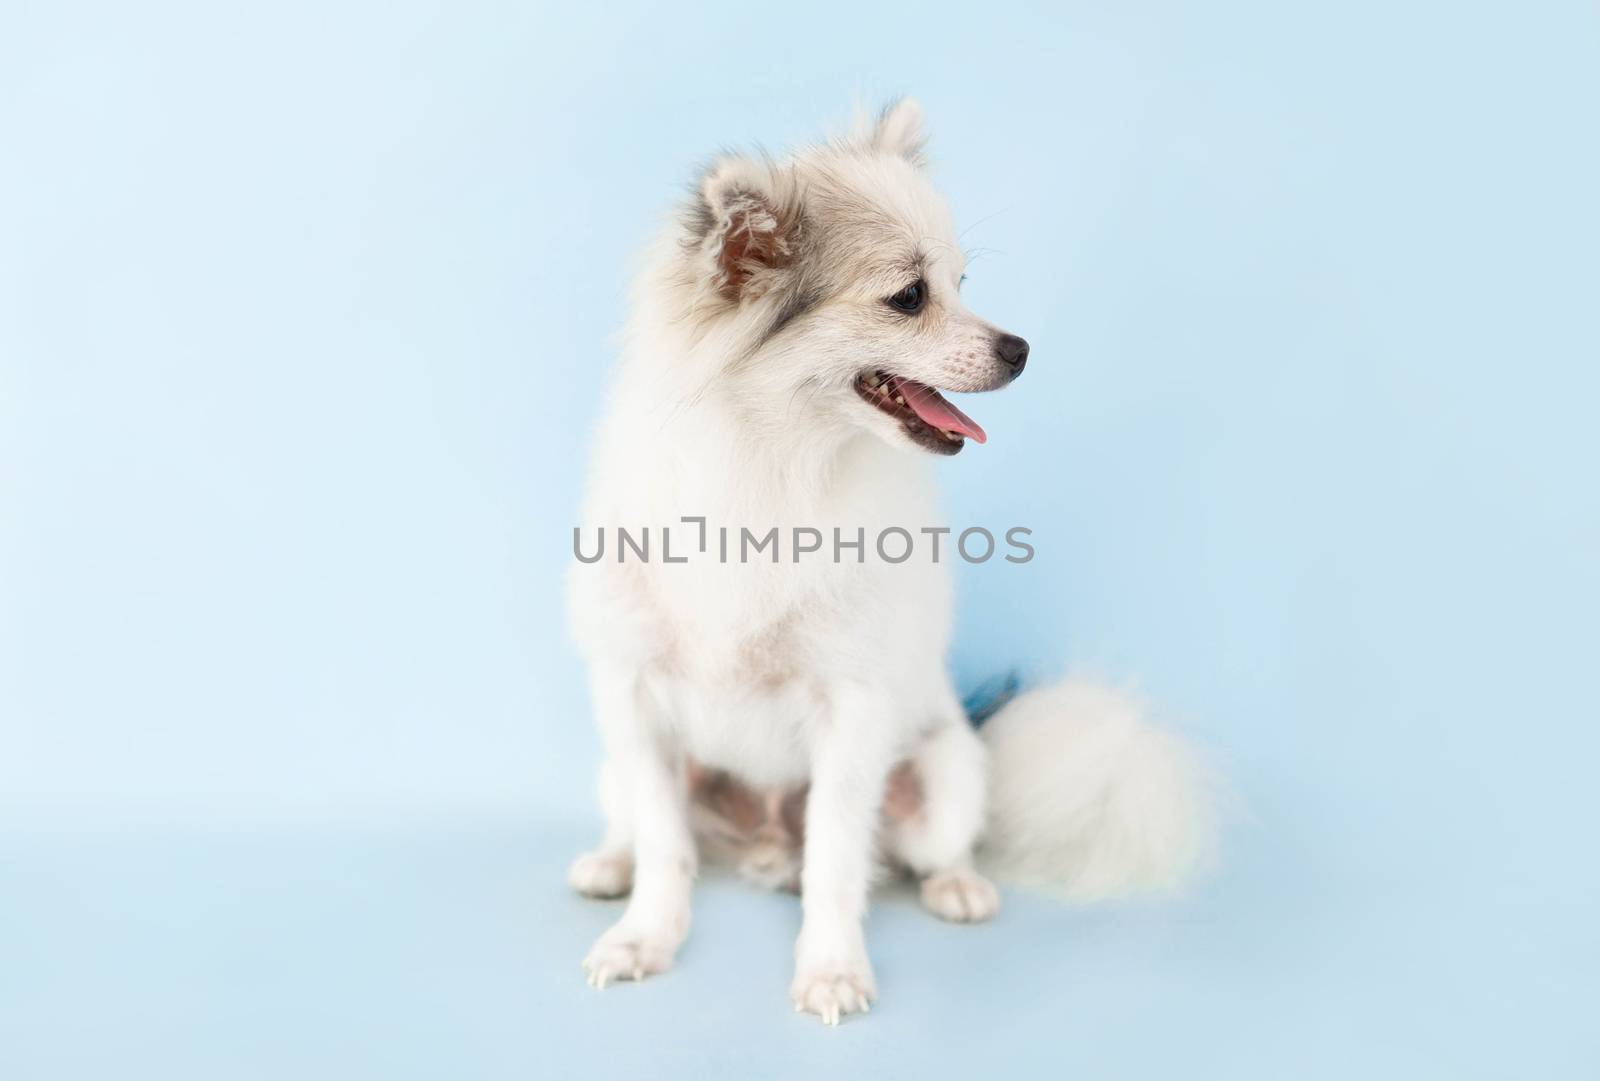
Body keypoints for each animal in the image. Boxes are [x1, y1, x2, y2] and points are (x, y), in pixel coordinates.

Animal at [569, 99, 1203, 1023]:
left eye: (965, 283)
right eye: (910, 297)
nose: (1019, 348)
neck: (776, 464)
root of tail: (764, 834)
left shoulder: (852, 710)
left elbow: (836, 859)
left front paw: (831, 967)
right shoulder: (634, 698)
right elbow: (666, 845)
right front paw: (646, 936)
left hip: (944, 775)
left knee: (909, 851)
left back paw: (956, 885)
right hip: (618, 768)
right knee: (650, 828)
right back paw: (614, 863)